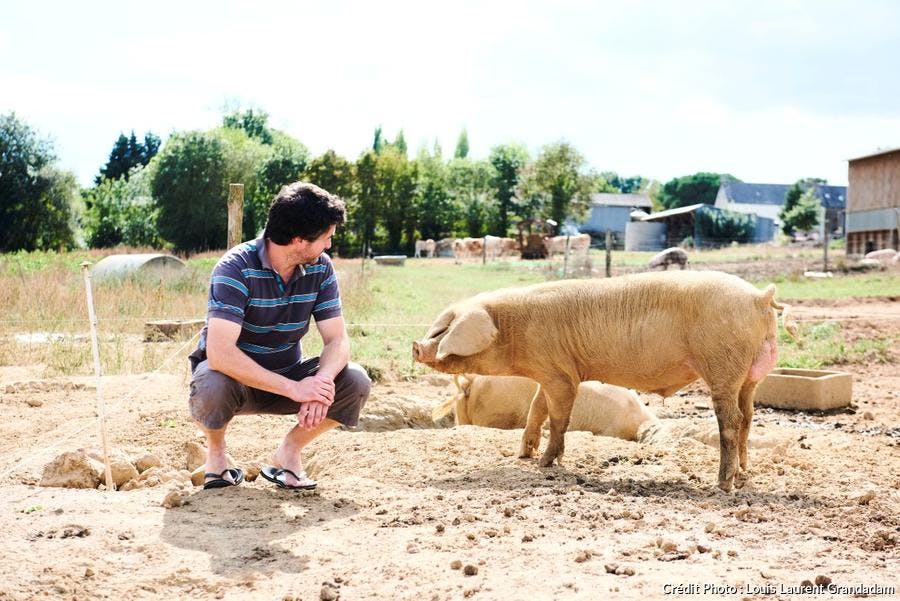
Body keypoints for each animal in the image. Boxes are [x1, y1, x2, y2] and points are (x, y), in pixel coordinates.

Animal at [412, 270, 800, 490]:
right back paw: (745, 475)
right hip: (750, 376)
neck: (512, 330)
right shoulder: (548, 372)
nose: (416, 346)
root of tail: (759, 296)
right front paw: (522, 455)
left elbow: (558, 418)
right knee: (748, 417)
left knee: (730, 421)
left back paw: (722, 484)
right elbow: (536, 410)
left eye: (443, 330)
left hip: (722, 365)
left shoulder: (560, 373)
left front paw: (545, 464)